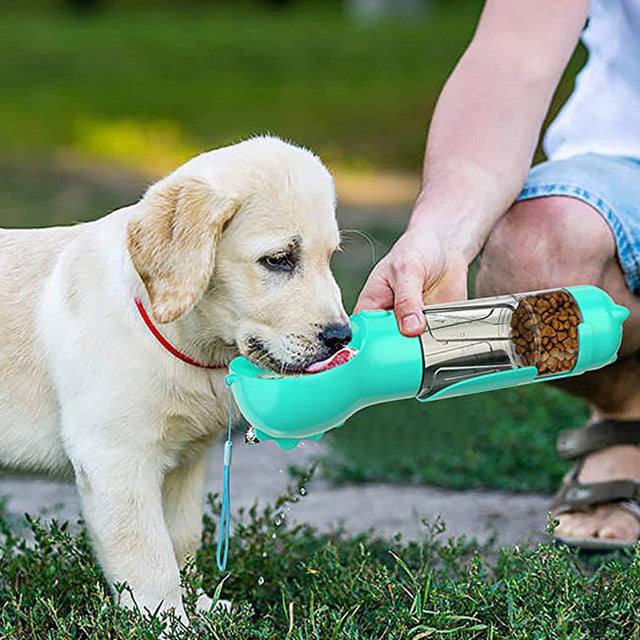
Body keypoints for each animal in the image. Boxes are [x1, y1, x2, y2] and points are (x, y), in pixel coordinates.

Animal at [0, 138, 350, 624]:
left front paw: (199, 607)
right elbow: (148, 555)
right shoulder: (115, 457)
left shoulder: (186, 461)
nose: (342, 337)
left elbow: (181, 539)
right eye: (279, 260)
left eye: (330, 258)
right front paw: (167, 621)